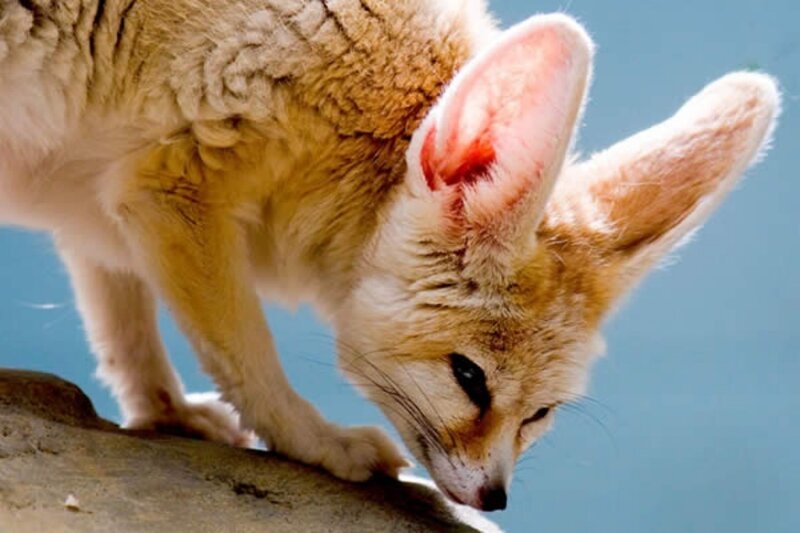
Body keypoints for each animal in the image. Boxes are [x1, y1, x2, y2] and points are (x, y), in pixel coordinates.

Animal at [0, 0, 780, 512]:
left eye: (541, 413)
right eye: (469, 377)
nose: (496, 499)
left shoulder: (105, 200)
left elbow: (122, 321)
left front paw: (163, 411)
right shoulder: (172, 188)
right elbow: (245, 356)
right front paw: (315, 439)